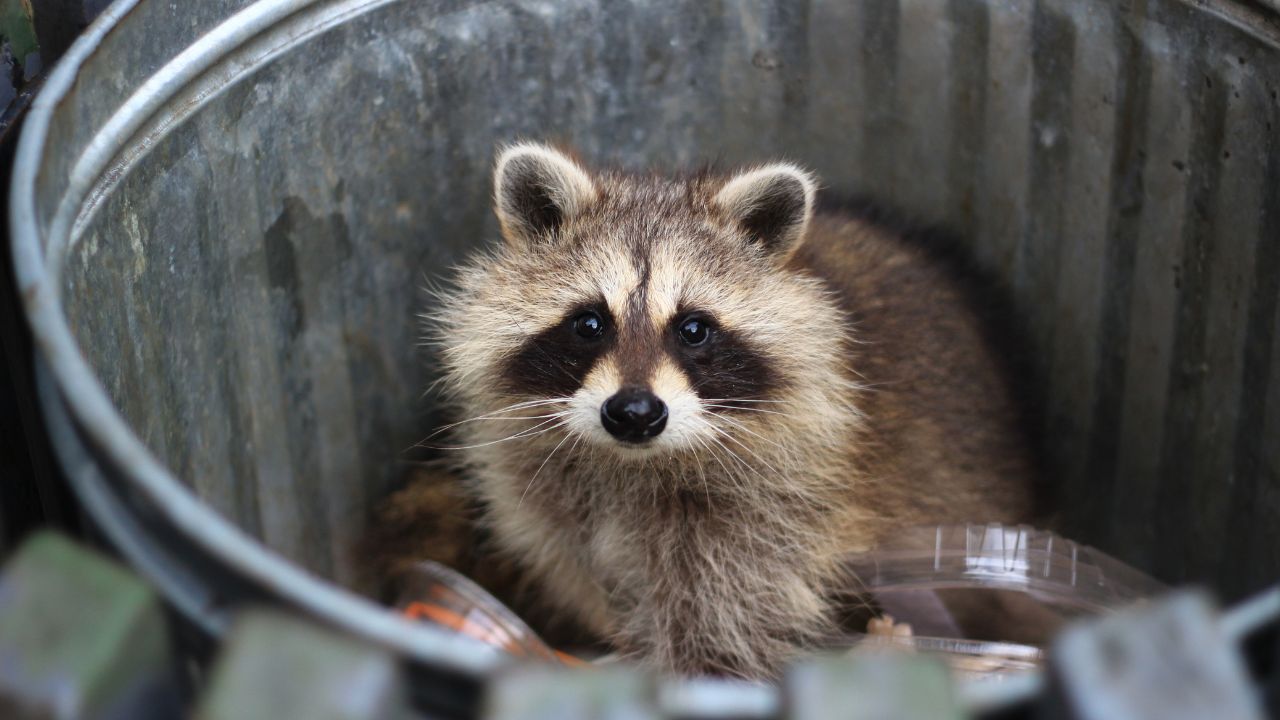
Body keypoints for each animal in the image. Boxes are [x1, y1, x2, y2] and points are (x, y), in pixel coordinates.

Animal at [366, 141, 1034, 676]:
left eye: (693, 330)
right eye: (589, 323)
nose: (634, 412)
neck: (631, 464)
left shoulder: (773, 518)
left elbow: (721, 631)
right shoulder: (545, 498)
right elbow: (577, 567)